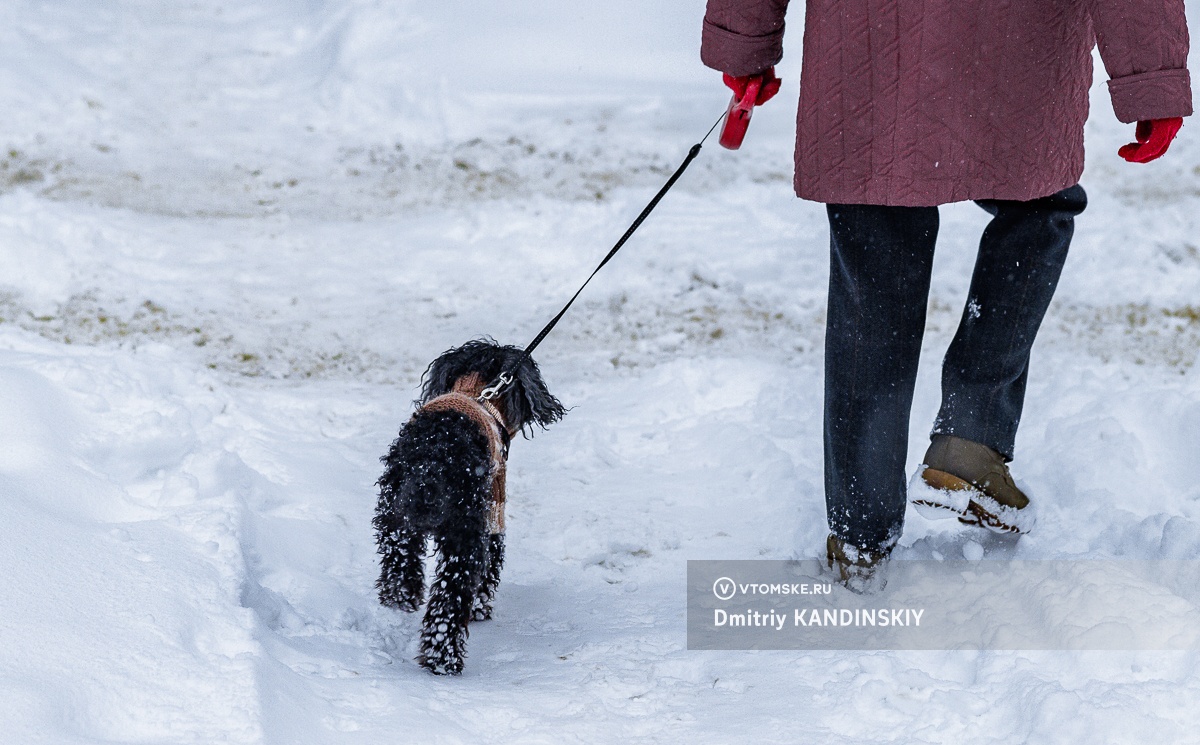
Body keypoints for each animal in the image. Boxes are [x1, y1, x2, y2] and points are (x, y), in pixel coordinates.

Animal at [372, 338, 564, 671]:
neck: (477, 393)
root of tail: (432, 455)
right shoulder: (494, 511)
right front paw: (480, 609)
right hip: (465, 532)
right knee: (450, 598)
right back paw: (443, 659)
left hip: (395, 520)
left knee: (400, 567)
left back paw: (400, 602)